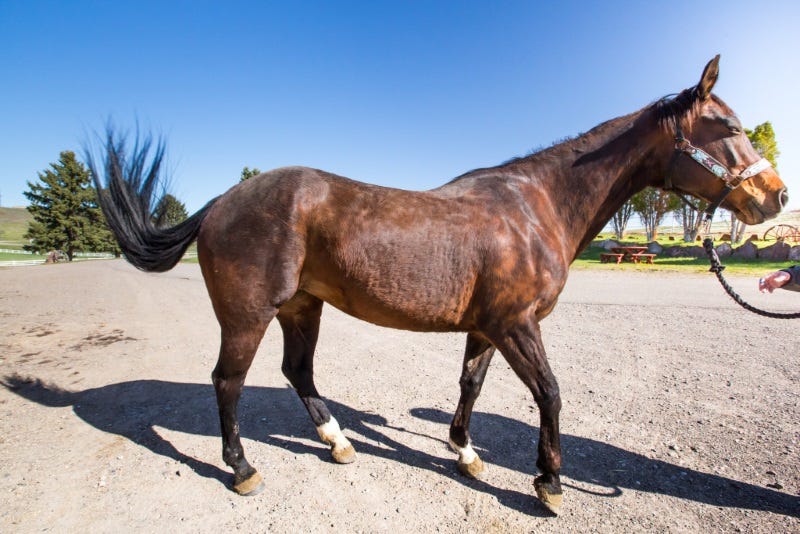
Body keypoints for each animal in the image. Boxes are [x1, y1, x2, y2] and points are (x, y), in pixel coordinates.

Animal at [90, 56, 787, 515]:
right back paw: (241, 468)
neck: (535, 204)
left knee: (298, 372)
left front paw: (466, 454)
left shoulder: (487, 327)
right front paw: (549, 483)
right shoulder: (515, 324)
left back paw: (338, 443)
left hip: (303, 307)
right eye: (728, 128)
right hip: (249, 314)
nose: (776, 197)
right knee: (228, 382)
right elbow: (550, 394)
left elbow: (470, 387)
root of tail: (221, 201)